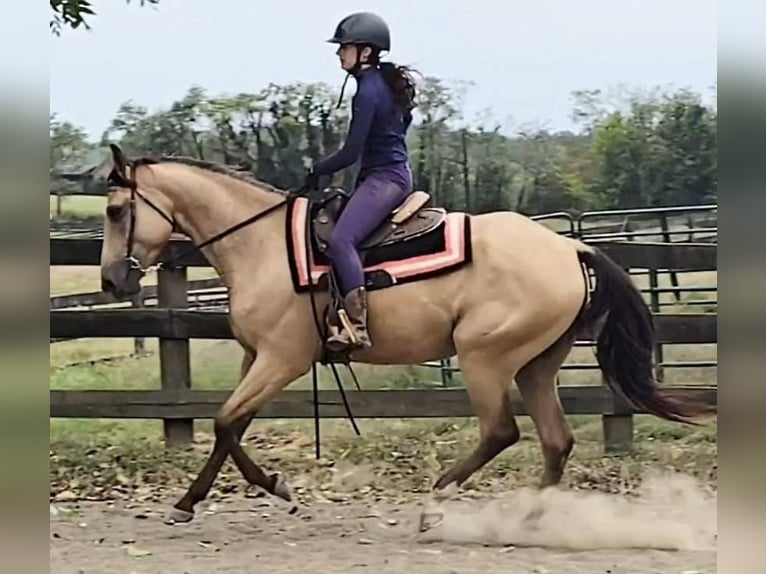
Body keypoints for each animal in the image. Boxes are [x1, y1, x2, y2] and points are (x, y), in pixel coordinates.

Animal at [96, 143, 710, 529]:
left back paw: (436, 503)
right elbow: (232, 426)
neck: (263, 245)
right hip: (537, 363)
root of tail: (571, 248)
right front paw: (214, 496)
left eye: (117, 209)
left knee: (501, 431)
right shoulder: (256, 358)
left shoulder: (282, 359)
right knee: (555, 441)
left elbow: (225, 422)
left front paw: (263, 488)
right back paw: (531, 516)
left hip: (485, 356)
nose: (111, 279)